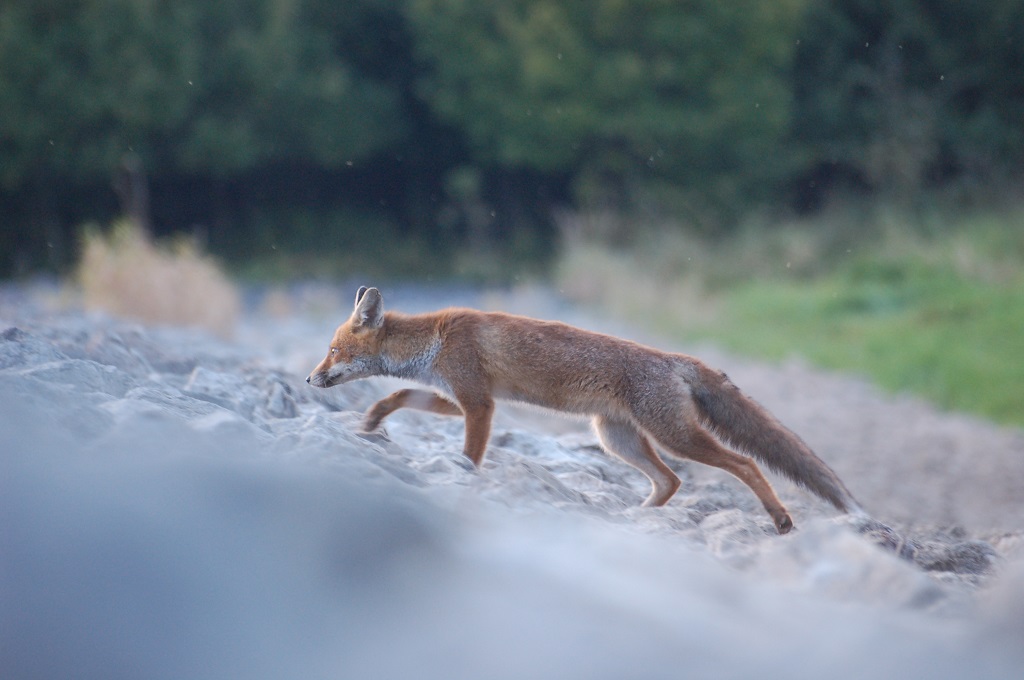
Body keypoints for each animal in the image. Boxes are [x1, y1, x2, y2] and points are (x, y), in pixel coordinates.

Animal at [305, 284, 864, 532]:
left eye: (331, 350)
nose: (309, 378)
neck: (433, 341)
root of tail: (677, 359)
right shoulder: (464, 397)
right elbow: (396, 395)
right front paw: (371, 421)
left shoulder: (480, 404)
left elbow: (470, 454)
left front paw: (465, 480)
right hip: (615, 438)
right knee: (670, 481)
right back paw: (631, 518)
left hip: (673, 437)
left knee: (744, 463)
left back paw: (781, 519)